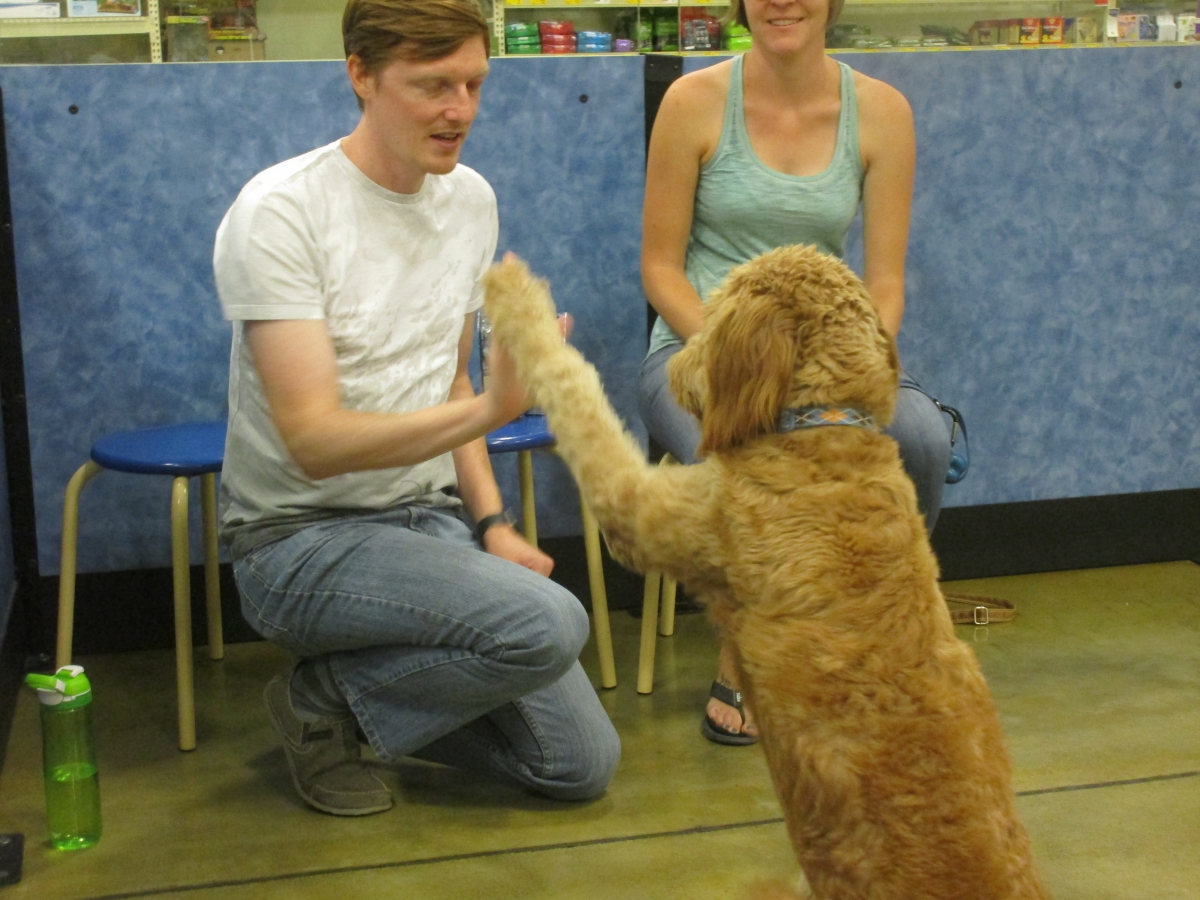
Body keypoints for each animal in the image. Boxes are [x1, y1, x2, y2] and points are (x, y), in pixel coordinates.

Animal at [482, 246, 1050, 900]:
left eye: (714, 314)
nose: (677, 362)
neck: (820, 431)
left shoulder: (638, 508)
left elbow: (575, 391)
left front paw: (517, 297)